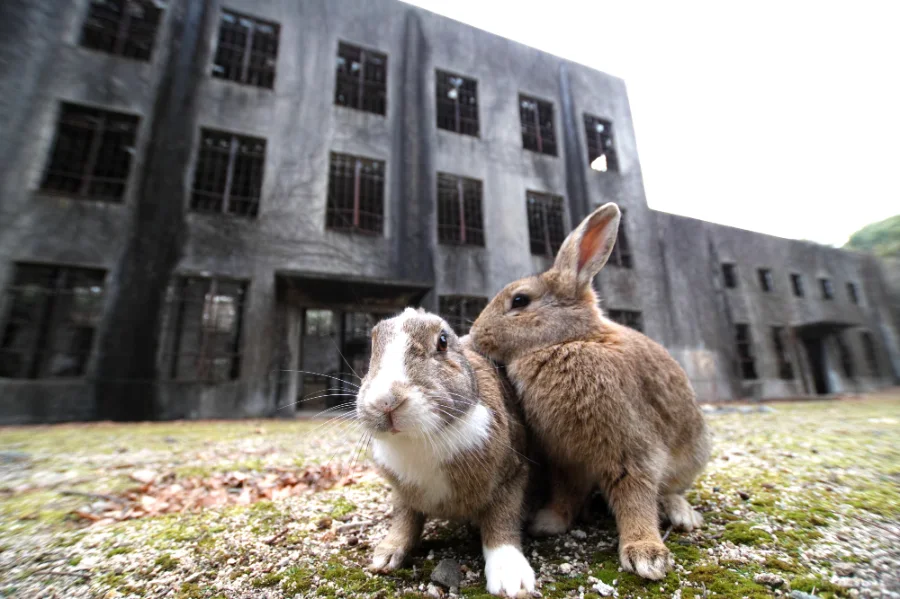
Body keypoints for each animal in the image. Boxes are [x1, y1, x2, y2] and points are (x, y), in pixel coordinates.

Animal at [356, 307, 535, 597]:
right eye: (373, 345)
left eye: (442, 342)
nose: (386, 401)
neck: (422, 437)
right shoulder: (403, 494)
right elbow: (404, 520)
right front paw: (386, 556)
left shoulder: (511, 478)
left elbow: (502, 523)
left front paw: (511, 580)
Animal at [468, 202, 711, 581]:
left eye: (520, 300)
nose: (476, 335)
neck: (567, 341)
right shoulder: (567, 458)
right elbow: (566, 491)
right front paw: (548, 523)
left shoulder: (630, 448)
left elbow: (635, 497)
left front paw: (646, 555)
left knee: (670, 490)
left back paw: (682, 514)